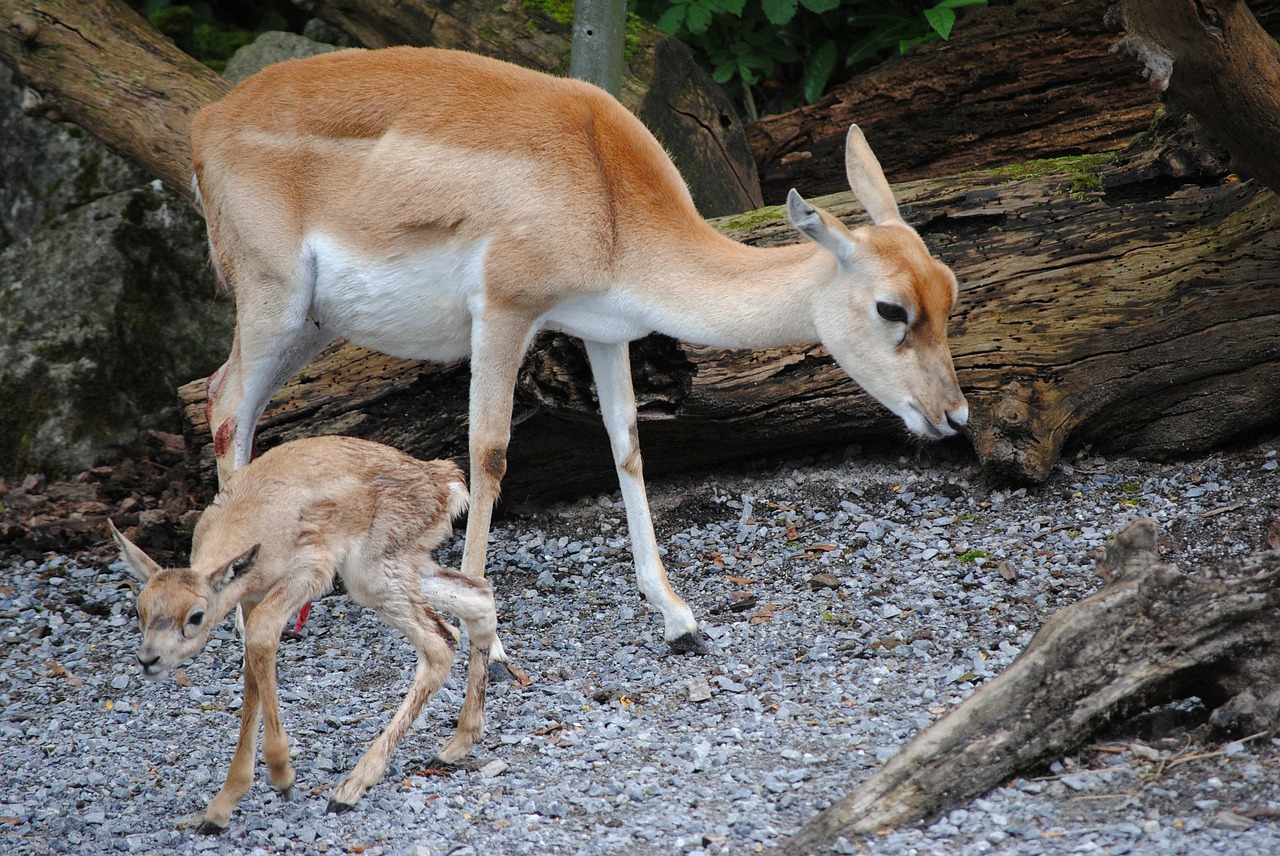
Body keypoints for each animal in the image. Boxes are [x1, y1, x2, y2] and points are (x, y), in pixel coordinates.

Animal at [192, 46, 967, 660]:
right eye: (891, 307)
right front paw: (489, 642)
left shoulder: (604, 330)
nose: (954, 416)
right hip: (274, 298)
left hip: (314, 323)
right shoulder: (505, 311)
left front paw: (681, 620)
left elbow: (627, 447)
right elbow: (488, 454)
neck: (611, 201)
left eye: (950, 288)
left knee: (232, 398)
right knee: (226, 406)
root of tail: (207, 125)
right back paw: (244, 619)